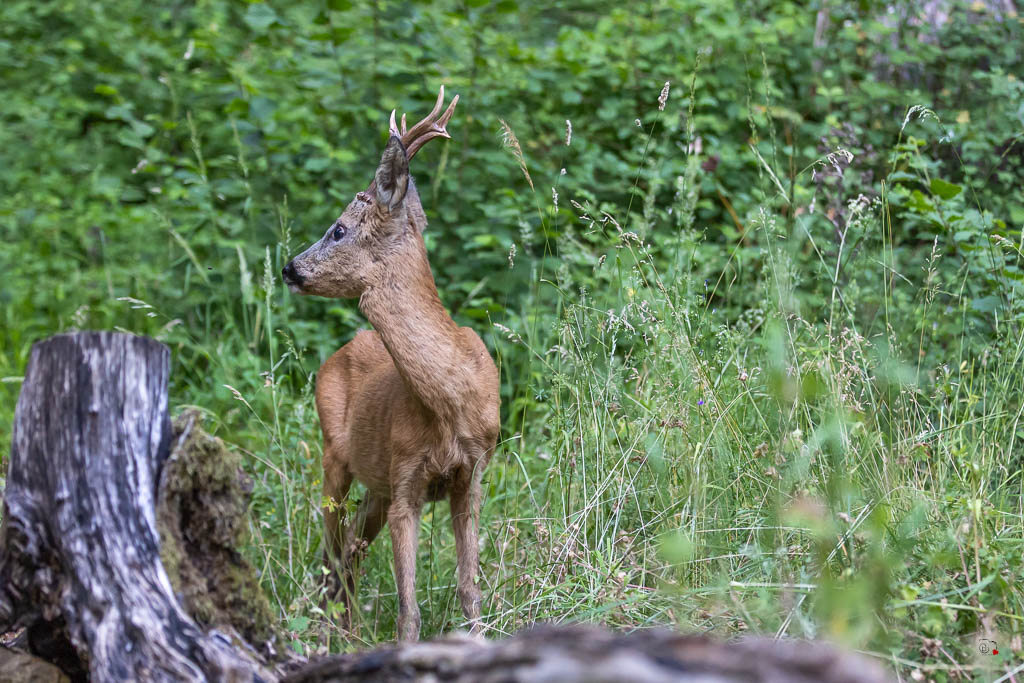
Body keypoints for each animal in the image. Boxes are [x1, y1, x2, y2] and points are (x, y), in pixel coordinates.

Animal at [281, 87, 500, 643]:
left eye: (338, 230)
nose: (289, 268)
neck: (451, 400)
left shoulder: (472, 478)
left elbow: (469, 590)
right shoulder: (406, 482)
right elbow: (410, 609)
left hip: (374, 486)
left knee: (350, 552)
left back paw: (345, 630)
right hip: (335, 457)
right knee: (333, 553)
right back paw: (334, 633)